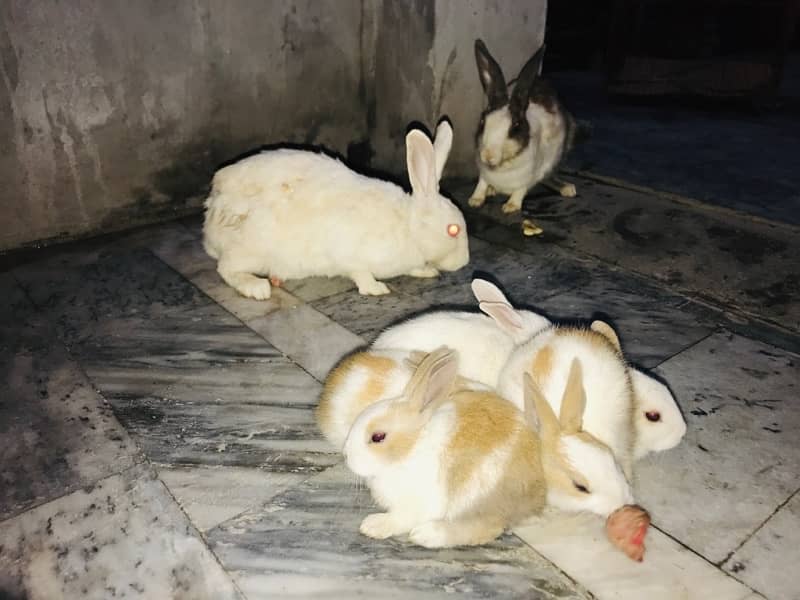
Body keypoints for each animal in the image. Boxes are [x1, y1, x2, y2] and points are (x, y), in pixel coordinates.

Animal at [203, 120, 472, 300]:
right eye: (453, 230)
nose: (465, 262)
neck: (409, 226)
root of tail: (213, 214)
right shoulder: (352, 256)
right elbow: (361, 274)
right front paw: (377, 289)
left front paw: (427, 271)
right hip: (250, 249)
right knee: (226, 269)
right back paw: (257, 288)